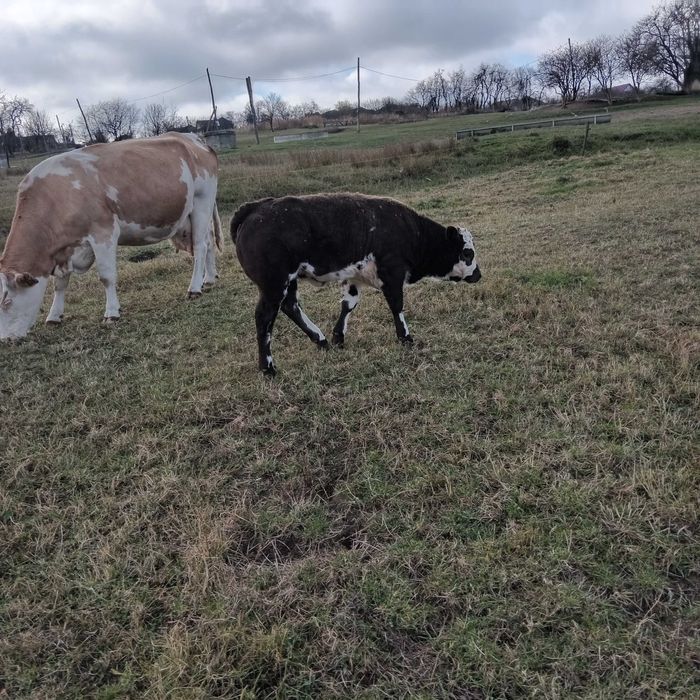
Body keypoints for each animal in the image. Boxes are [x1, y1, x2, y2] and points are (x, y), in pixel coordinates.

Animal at [0, 132, 221, 340]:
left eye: (7, 301)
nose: (6, 340)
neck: (57, 196)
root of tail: (192, 138)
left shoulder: (103, 233)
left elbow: (106, 277)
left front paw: (112, 313)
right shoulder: (64, 250)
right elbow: (60, 284)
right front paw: (54, 316)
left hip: (202, 202)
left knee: (200, 246)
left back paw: (195, 288)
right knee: (209, 242)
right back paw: (209, 279)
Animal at [231, 193, 481, 375]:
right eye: (467, 253)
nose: (478, 274)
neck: (412, 232)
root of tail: (254, 208)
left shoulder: (353, 277)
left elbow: (348, 305)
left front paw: (338, 337)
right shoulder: (392, 274)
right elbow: (397, 306)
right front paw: (405, 337)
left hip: (288, 282)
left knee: (291, 306)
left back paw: (320, 340)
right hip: (274, 284)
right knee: (265, 318)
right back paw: (268, 367)